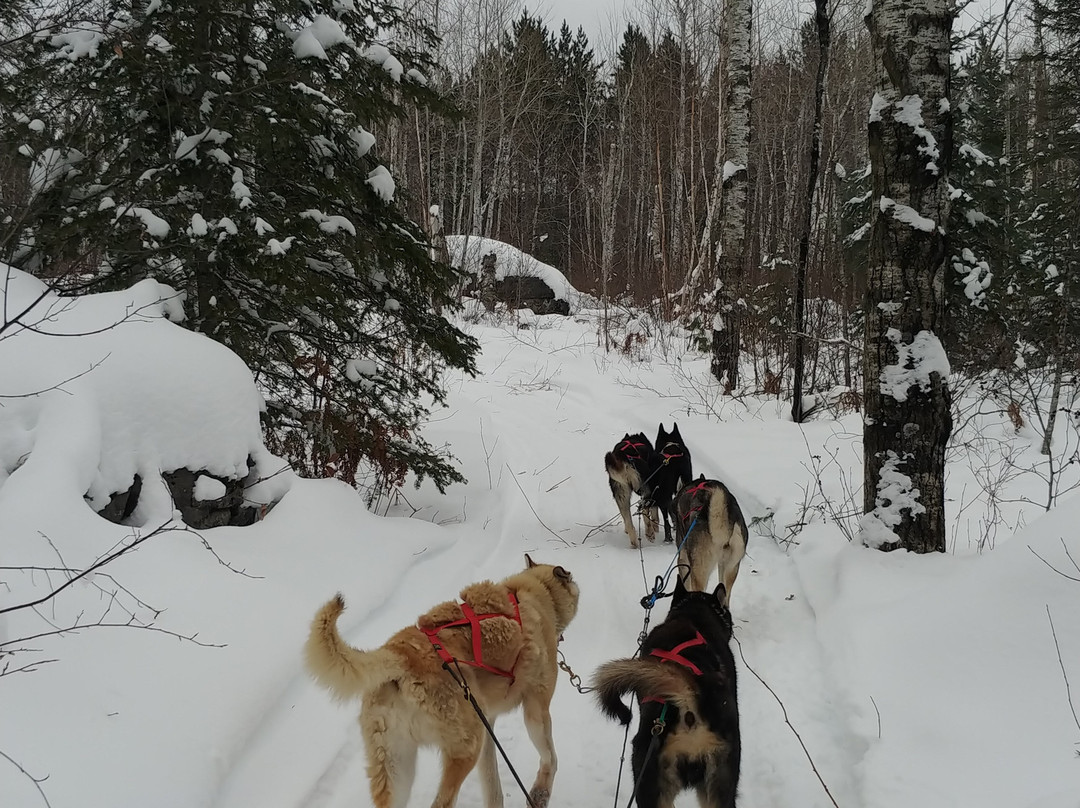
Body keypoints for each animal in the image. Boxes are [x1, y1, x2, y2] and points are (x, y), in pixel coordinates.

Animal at [304, 557, 583, 808]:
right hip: (466, 748)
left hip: (398, 766)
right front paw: (540, 793)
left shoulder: (489, 727)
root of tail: (399, 653)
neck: (529, 594)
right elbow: (550, 758)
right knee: (442, 801)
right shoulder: (536, 708)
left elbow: (493, 789)